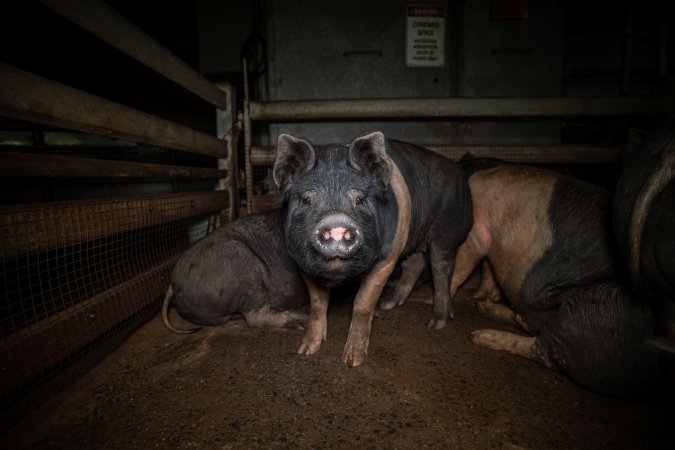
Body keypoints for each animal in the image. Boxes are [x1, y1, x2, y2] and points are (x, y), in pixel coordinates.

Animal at [273, 131, 472, 366]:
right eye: (306, 199)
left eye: (360, 199)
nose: (336, 222)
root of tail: (460, 174)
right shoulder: (301, 261)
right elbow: (317, 303)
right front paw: (305, 351)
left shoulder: (386, 259)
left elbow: (362, 303)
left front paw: (352, 361)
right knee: (414, 264)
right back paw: (388, 304)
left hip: (446, 232)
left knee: (441, 269)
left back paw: (436, 324)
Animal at [449, 157, 662, 398]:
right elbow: (488, 271)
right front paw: (479, 297)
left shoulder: (475, 230)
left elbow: (463, 263)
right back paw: (484, 309)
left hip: (595, 310)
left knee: (545, 352)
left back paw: (479, 335)